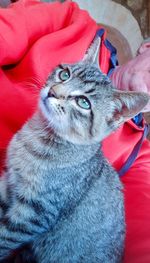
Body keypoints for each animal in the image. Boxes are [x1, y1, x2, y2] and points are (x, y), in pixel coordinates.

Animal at [0, 37, 149, 263]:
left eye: (83, 103)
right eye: (64, 74)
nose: (53, 91)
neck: (36, 136)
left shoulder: (35, 212)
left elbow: (4, 237)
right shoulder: (9, 183)